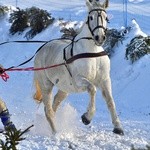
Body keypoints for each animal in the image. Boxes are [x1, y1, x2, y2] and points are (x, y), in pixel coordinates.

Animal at [34, 0, 124, 135]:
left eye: (106, 18)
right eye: (91, 17)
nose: (100, 37)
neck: (92, 52)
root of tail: (41, 49)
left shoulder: (105, 80)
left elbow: (110, 101)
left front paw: (118, 127)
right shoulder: (79, 80)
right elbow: (92, 89)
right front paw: (87, 117)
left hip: (64, 89)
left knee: (54, 106)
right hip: (46, 85)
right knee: (48, 110)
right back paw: (56, 133)